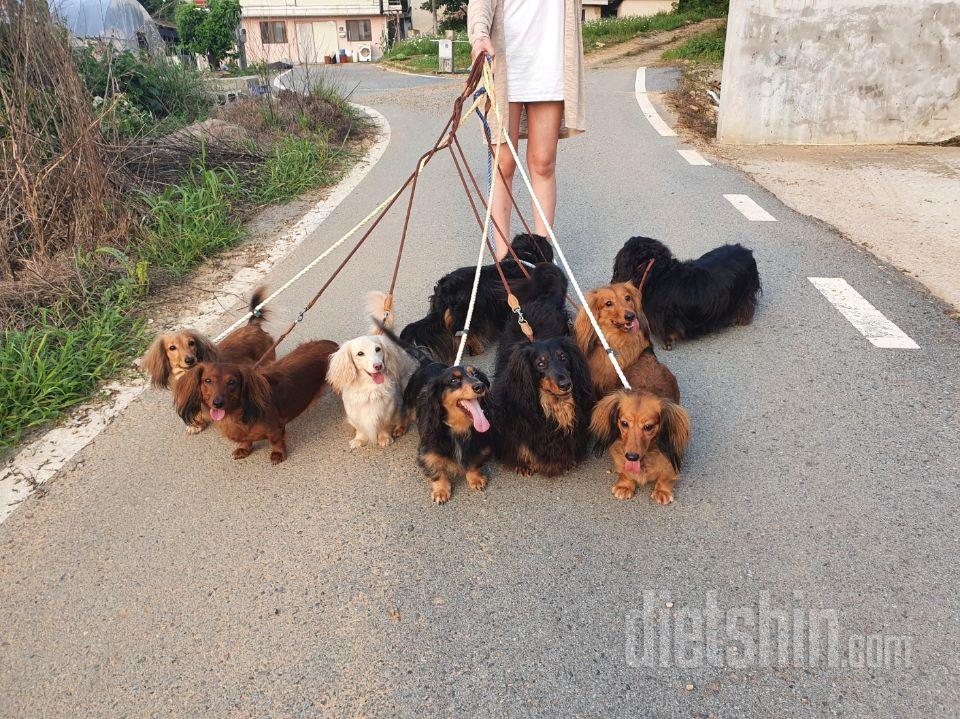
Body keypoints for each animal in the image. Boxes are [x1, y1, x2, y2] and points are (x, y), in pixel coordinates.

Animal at [496, 264, 592, 478]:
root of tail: (543, 300)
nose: (566, 385)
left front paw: (566, 461)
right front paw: (523, 464)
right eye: (540, 364)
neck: (553, 402)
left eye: (564, 358)